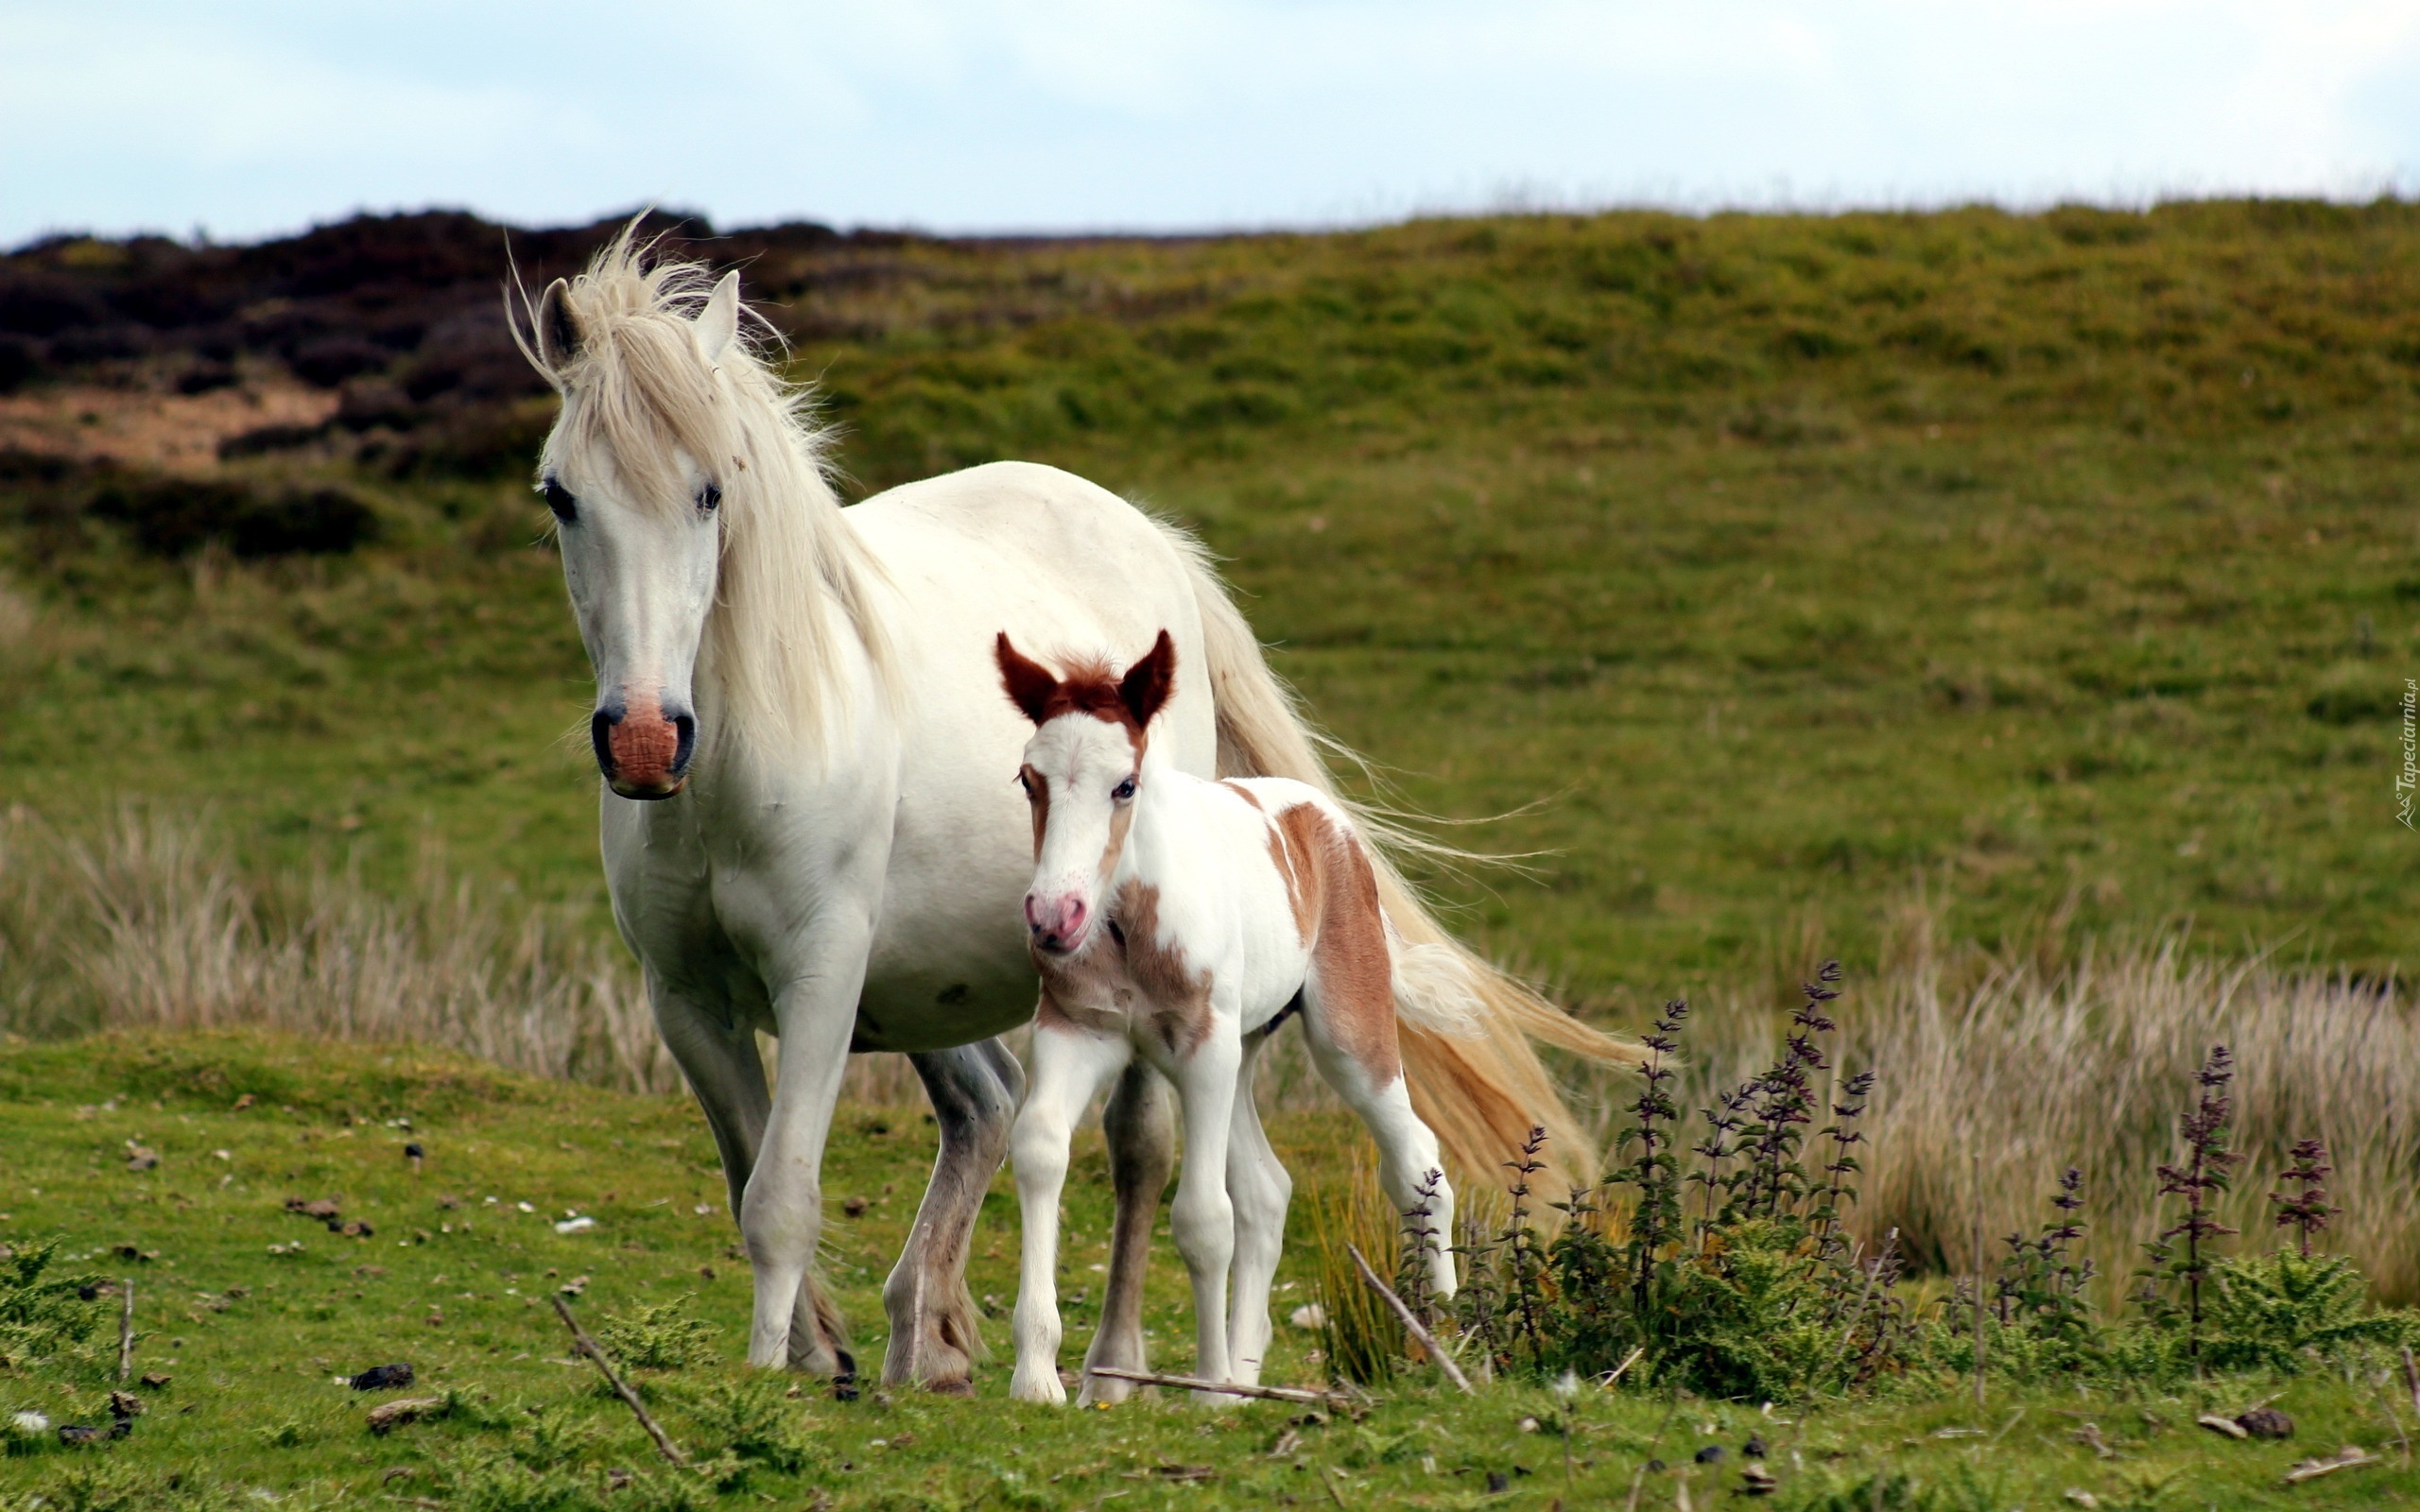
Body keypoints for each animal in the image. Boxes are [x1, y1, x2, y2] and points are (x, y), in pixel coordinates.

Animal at [987, 628, 1442, 1402]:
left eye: (1125, 784)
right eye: (1028, 780)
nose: (1053, 917)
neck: (1128, 922)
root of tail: (1325, 819)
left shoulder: (1203, 1049)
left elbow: (1202, 1218)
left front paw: (1205, 1390)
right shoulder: (1077, 1032)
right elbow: (1042, 1147)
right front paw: (1037, 1377)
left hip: (1343, 1037)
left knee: (1416, 1160)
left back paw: (1452, 1341)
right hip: (1242, 1051)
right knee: (1267, 1192)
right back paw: (1248, 1374)